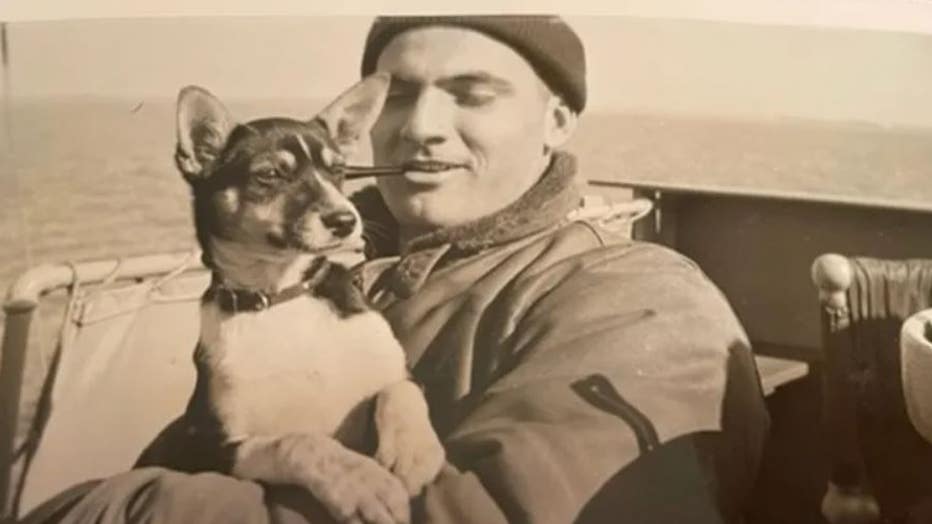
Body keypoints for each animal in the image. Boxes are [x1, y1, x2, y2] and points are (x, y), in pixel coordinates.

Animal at [137, 73, 444, 524]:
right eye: (268, 176)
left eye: (338, 171)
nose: (345, 220)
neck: (283, 295)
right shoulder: (209, 447)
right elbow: (299, 442)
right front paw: (360, 481)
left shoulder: (400, 373)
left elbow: (401, 391)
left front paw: (412, 451)